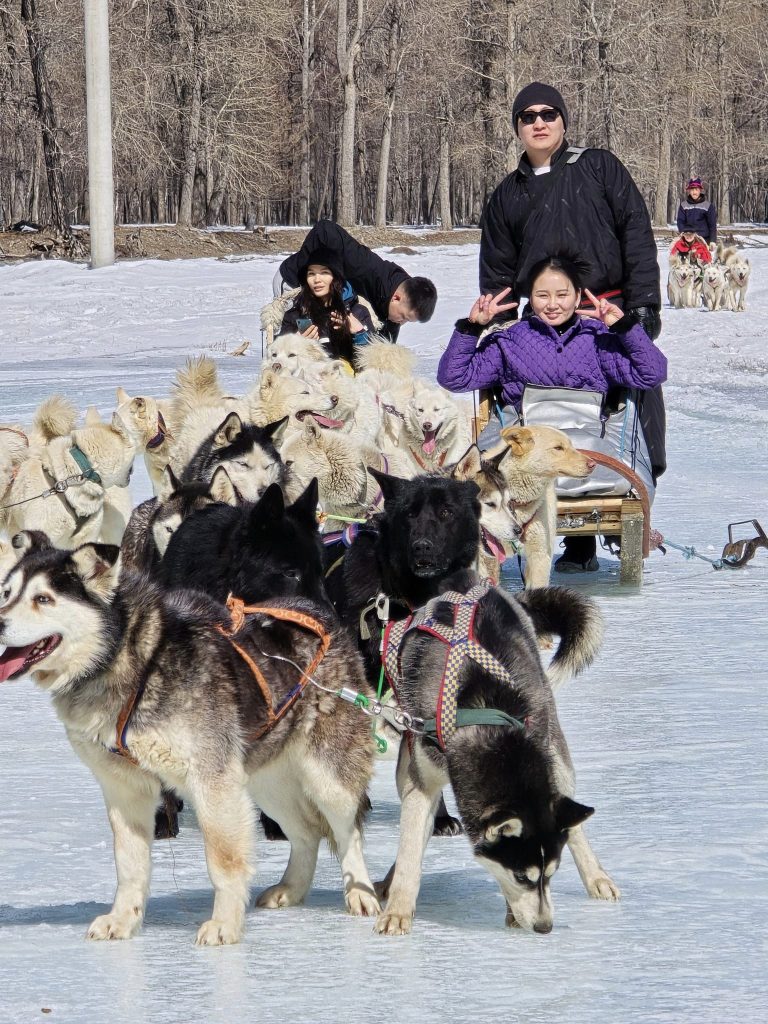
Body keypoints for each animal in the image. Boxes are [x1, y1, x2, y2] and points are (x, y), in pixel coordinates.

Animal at [0, 536, 382, 942]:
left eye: (43, 598)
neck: (132, 658)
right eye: (7, 593)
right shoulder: (125, 790)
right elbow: (129, 865)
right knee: (306, 831)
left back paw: (361, 894)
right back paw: (291, 888)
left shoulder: (212, 781)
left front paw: (224, 924)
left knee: (349, 833)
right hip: (266, 784)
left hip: (328, 779)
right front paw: (122, 919)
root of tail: (322, 617)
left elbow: (223, 860)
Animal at [376, 569, 622, 937]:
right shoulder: (422, 783)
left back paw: (596, 877)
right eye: (522, 876)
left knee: (571, 818)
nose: (545, 927)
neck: (486, 716)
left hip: (556, 750)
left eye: (550, 875)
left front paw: (513, 913)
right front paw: (398, 910)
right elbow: (410, 851)